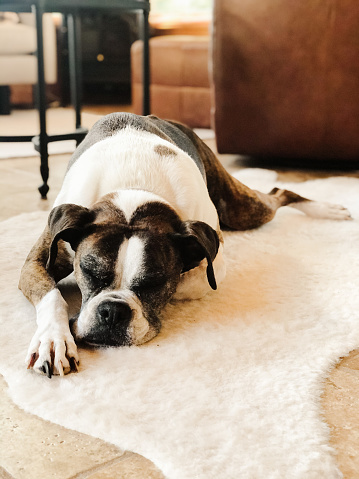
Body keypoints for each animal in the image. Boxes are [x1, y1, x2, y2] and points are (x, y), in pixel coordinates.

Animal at [19, 113, 352, 378]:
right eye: (88, 272)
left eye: (153, 284)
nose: (113, 311)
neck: (134, 189)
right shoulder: (37, 261)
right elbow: (52, 296)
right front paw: (53, 341)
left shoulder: (214, 260)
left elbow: (185, 282)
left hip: (241, 208)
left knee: (279, 191)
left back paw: (328, 210)